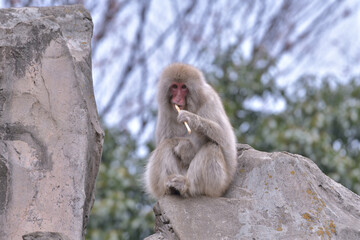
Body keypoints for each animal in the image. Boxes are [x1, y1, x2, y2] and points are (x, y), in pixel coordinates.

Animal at [145, 62, 238, 199]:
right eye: (174, 86)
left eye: (183, 87)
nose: (178, 98)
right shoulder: (164, 111)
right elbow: (165, 141)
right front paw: (182, 145)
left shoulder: (210, 99)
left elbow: (225, 139)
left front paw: (191, 119)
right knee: (166, 144)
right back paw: (170, 187)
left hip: (219, 185)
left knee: (212, 146)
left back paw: (186, 186)